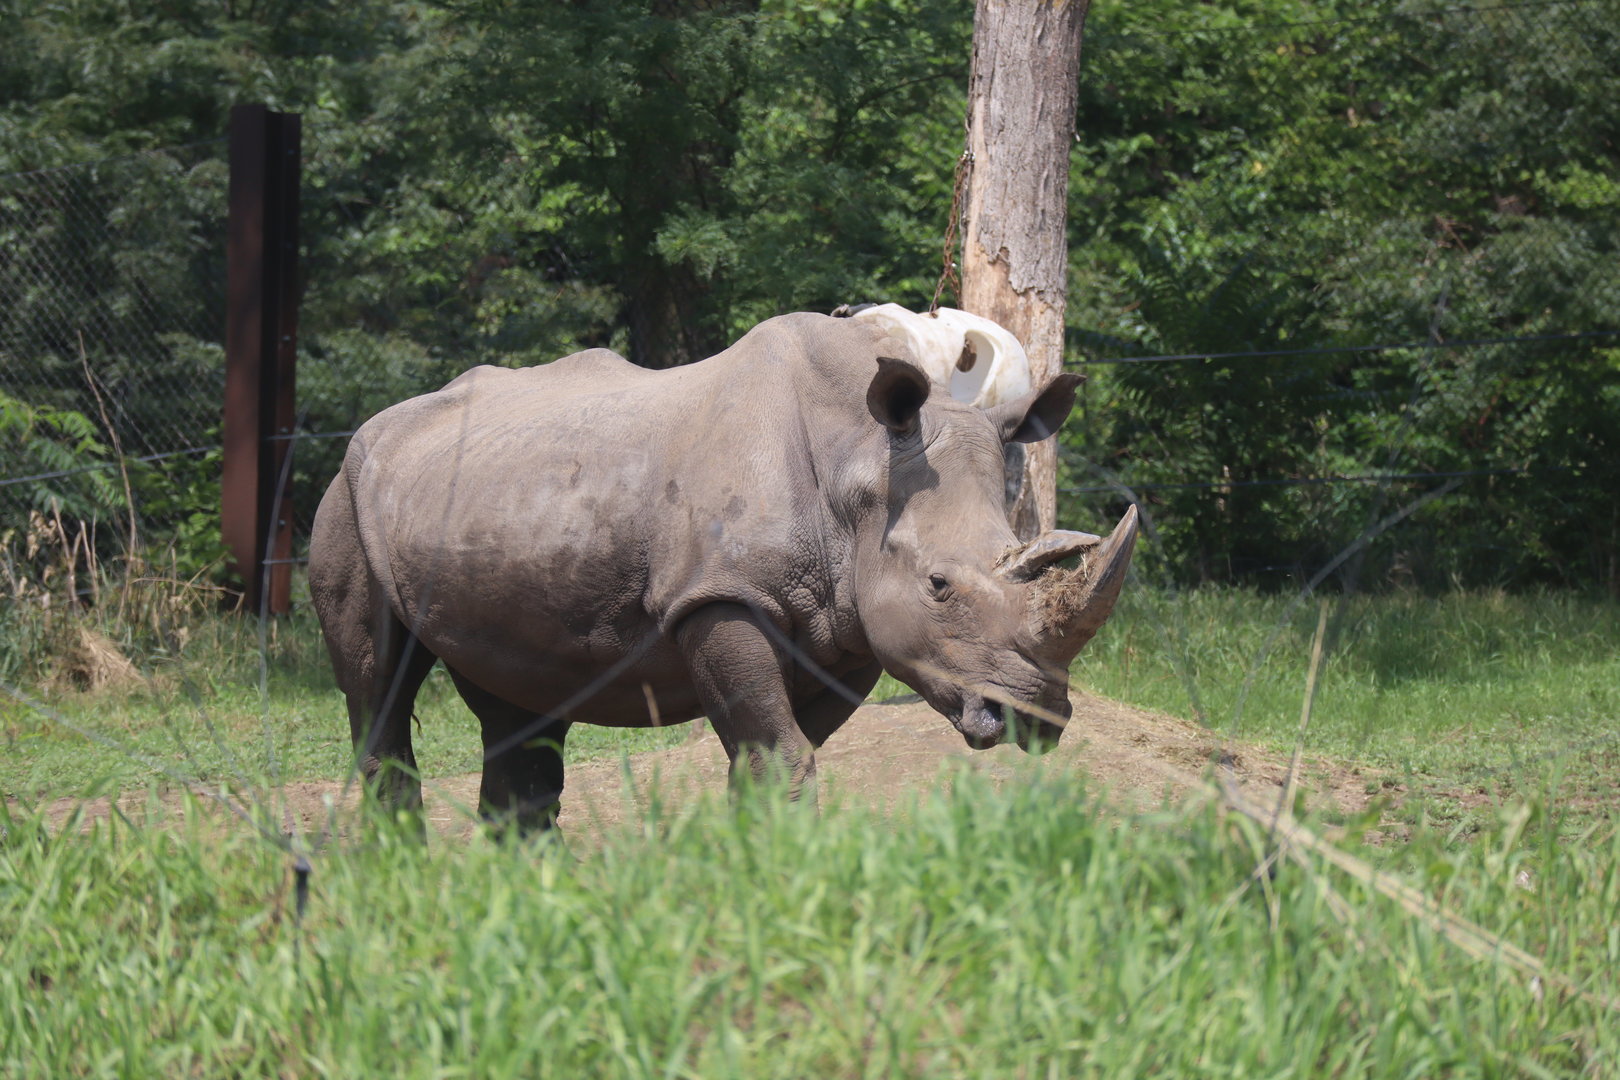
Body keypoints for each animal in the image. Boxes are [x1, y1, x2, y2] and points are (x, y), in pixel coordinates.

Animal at [309, 312, 1138, 829]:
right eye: (939, 585)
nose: (1033, 716)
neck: (859, 462)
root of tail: (378, 424)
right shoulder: (721, 596)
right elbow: (781, 752)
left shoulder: (847, 627)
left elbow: (772, 755)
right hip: (348, 490)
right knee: (377, 683)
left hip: (493, 504)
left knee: (520, 698)